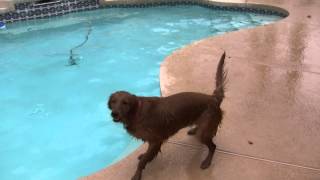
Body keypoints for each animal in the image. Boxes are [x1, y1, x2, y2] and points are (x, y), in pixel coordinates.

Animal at [108, 52, 228, 180]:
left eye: (125, 103)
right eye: (113, 101)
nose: (114, 113)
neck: (136, 112)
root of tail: (213, 98)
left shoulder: (155, 141)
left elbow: (143, 161)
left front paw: (137, 174)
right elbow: (145, 156)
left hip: (204, 133)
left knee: (213, 147)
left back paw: (207, 162)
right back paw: (194, 129)